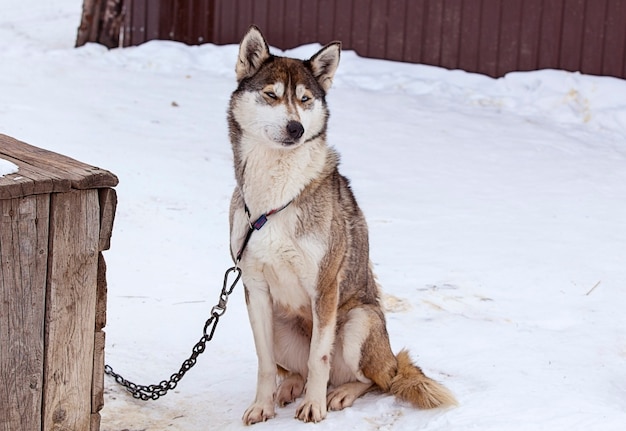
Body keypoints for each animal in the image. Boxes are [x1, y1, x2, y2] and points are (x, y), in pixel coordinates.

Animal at [227, 24, 456, 426]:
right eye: (271, 95)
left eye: (304, 100)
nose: (295, 128)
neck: (275, 195)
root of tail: (391, 359)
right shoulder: (255, 289)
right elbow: (265, 363)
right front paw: (262, 405)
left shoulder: (324, 286)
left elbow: (319, 358)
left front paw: (314, 407)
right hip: (281, 324)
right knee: (296, 370)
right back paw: (290, 387)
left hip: (358, 322)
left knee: (374, 380)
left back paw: (340, 393)